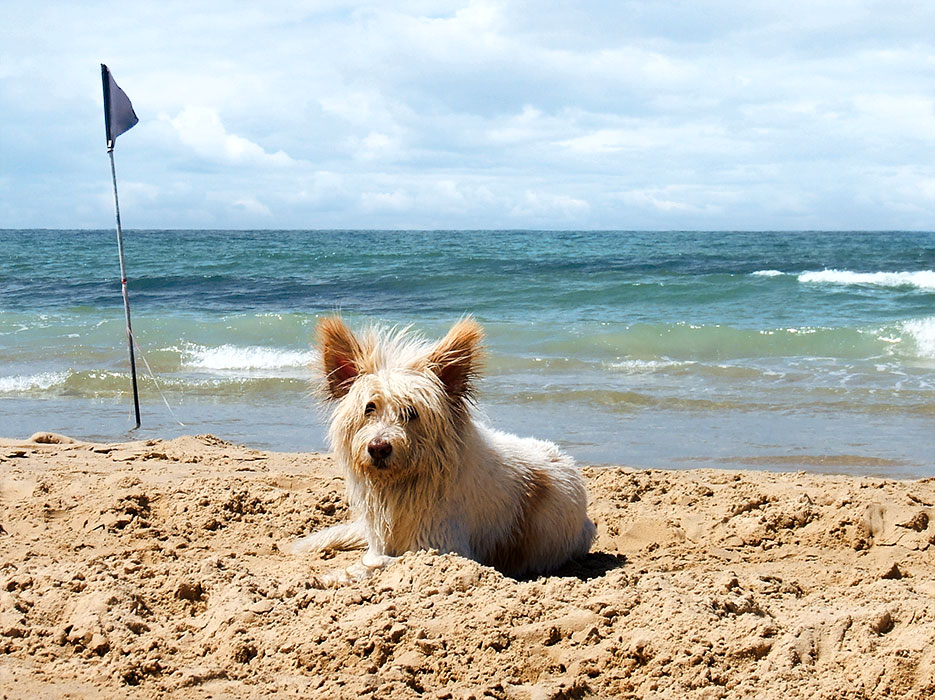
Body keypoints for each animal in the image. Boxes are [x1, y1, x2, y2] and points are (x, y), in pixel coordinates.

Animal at [292, 318, 596, 580]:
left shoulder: (444, 548)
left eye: (411, 412)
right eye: (369, 408)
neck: (404, 486)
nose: (378, 448)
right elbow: (373, 558)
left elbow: (383, 562)